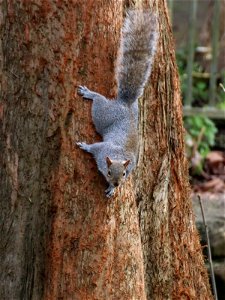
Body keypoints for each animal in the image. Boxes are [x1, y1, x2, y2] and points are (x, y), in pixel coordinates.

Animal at [77, 9, 158, 197]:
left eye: (124, 174)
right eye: (108, 171)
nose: (116, 183)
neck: (118, 156)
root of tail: (125, 104)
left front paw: (111, 189)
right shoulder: (102, 149)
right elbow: (94, 147)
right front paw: (85, 146)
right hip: (103, 115)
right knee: (99, 101)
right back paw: (90, 94)